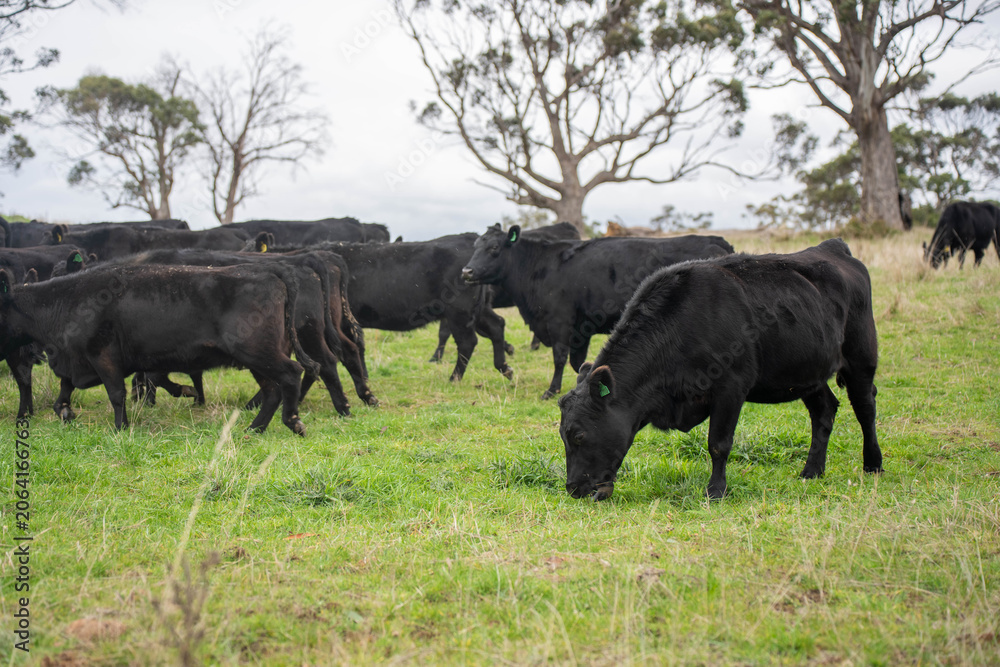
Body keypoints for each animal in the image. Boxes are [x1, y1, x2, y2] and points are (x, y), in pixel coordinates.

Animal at [0, 263, 312, 434]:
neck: (68, 300)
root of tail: (267, 269)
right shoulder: (75, 360)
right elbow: (63, 392)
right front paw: (65, 412)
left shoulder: (103, 356)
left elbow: (116, 393)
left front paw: (120, 428)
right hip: (257, 357)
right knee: (272, 390)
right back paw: (254, 429)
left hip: (257, 351)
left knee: (291, 374)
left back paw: (292, 421)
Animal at [277, 235, 513, 382]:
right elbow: (359, 347)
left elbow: (355, 348)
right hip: (477, 310)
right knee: (497, 325)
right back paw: (505, 368)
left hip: (459, 312)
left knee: (467, 342)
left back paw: (454, 378)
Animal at [431, 222, 583, 361]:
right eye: (475, 247)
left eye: (494, 247)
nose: (466, 272)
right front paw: (508, 348)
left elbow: (445, 331)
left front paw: (435, 357)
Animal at [461, 224, 734, 399]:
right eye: (475, 246)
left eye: (494, 248)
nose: (466, 271)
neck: (540, 266)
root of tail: (717, 240)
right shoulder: (582, 328)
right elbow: (578, 362)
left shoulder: (560, 321)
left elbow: (560, 358)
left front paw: (551, 390)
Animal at [558, 238, 882, 501]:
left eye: (579, 435)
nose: (573, 488)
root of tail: (833, 247)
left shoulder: (731, 387)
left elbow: (718, 444)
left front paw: (716, 490)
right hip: (807, 373)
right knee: (824, 411)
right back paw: (812, 470)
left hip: (861, 358)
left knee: (866, 409)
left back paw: (873, 464)